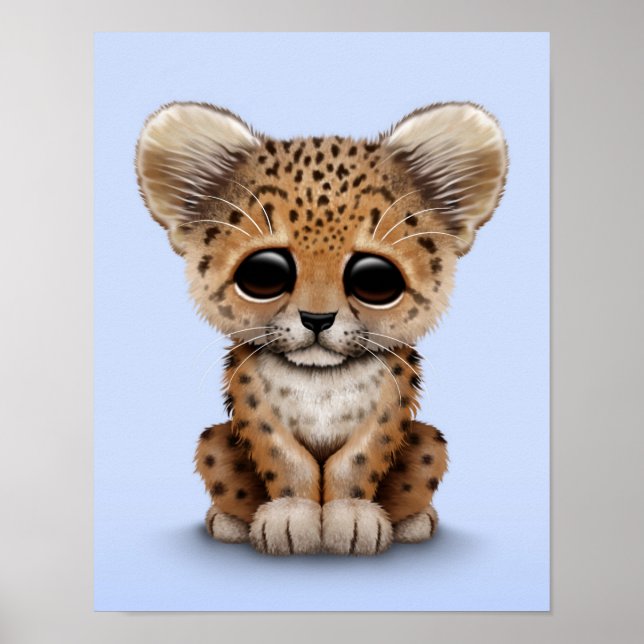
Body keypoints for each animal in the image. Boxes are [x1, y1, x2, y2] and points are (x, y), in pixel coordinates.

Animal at [135, 101, 507, 555]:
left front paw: (351, 516)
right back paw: (228, 522)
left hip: (429, 442)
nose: (316, 319)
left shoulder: (390, 408)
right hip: (214, 442)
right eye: (263, 273)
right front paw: (291, 516)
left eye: (375, 279)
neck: (320, 380)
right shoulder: (253, 407)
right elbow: (286, 460)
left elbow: (357, 462)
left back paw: (414, 522)